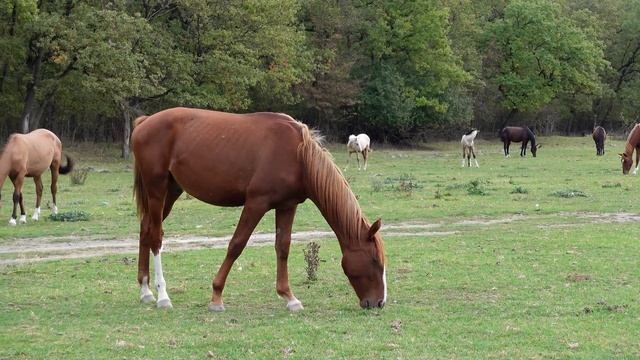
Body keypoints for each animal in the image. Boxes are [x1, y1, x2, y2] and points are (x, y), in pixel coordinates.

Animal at [132, 107, 388, 312]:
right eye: (375, 260)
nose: (379, 302)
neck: (297, 155)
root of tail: (144, 122)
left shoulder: (287, 206)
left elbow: (282, 247)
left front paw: (290, 298)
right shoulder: (256, 203)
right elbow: (237, 244)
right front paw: (216, 296)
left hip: (171, 191)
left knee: (145, 230)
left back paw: (145, 291)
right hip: (157, 190)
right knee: (156, 237)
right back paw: (162, 296)